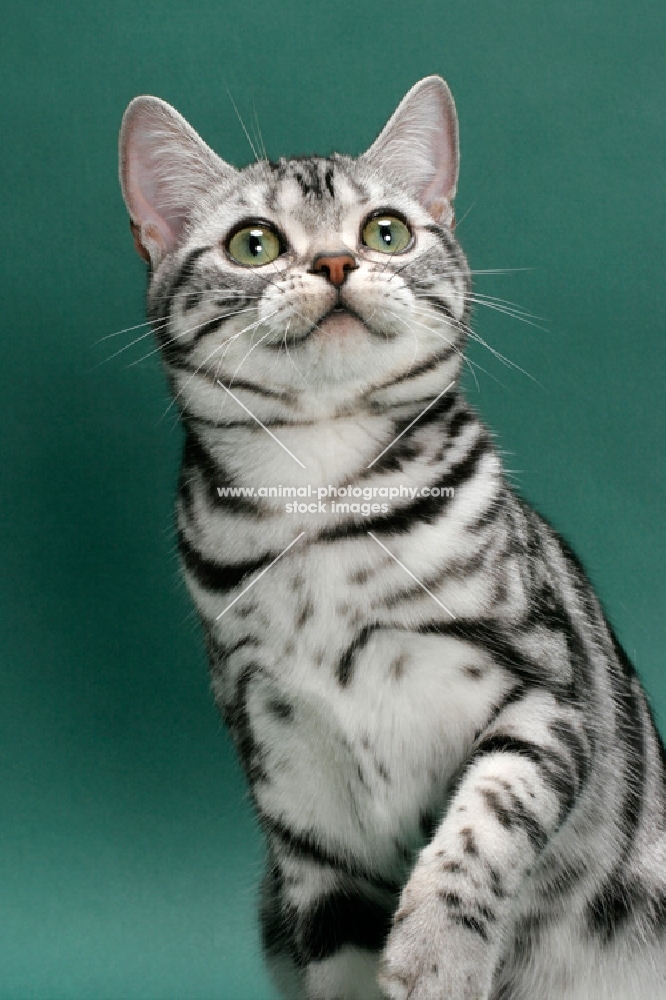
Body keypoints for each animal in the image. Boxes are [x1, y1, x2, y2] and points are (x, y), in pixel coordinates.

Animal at [116, 74, 660, 996]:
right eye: (255, 244)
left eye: (386, 232)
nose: (337, 263)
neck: (319, 497)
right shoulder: (291, 784)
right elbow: (337, 941)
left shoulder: (547, 689)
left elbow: (486, 816)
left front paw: (438, 950)